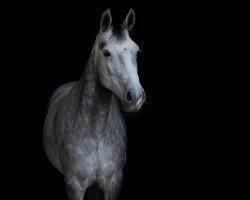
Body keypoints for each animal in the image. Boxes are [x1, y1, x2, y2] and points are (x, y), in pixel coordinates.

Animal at [42, 8, 145, 199]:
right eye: (106, 53)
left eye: (137, 51)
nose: (136, 97)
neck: (96, 131)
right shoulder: (74, 186)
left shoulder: (113, 185)